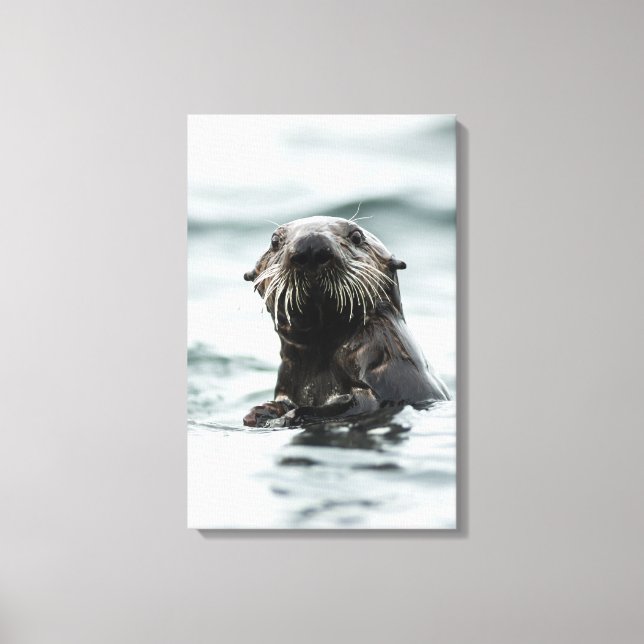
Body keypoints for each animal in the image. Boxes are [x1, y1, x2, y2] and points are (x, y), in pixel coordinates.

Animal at [242, 216, 450, 427]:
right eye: (275, 241)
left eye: (356, 236)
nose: (311, 246)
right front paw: (261, 412)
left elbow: (357, 404)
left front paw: (291, 415)